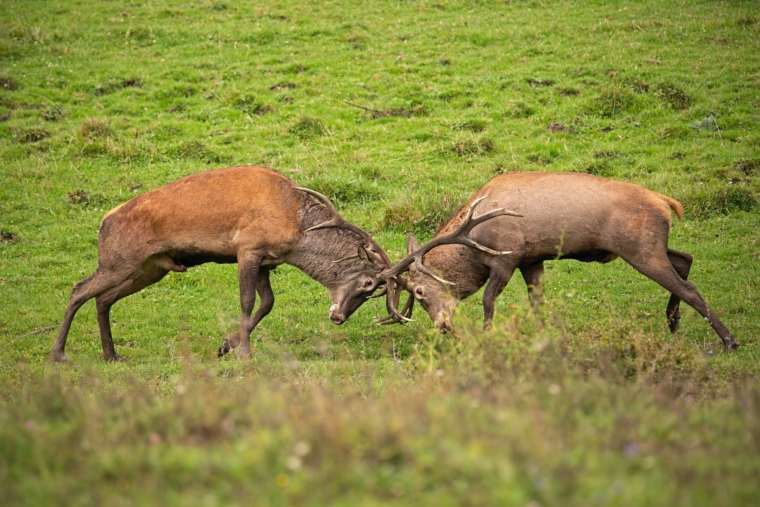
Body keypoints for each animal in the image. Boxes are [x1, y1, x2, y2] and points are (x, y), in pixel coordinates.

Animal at [51, 165, 393, 362]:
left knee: (103, 298)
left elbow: (267, 302)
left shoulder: (266, 260)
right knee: (79, 288)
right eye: (368, 284)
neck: (295, 226)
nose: (339, 318)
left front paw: (226, 345)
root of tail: (104, 221)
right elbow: (247, 301)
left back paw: (111, 354)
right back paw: (58, 355)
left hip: (149, 269)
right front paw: (243, 352)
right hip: (118, 261)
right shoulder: (247, 249)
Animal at [379, 172, 739, 352]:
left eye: (419, 292)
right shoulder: (532, 260)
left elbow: (488, 300)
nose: (443, 326)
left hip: (639, 248)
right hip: (649, 246)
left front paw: (486, 336)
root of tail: (667, 202)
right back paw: (672, 320)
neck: (474, 244)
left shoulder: (508, 256)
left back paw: (729, 340)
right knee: (685, 259)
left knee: (690, 286)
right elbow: (537, 303)